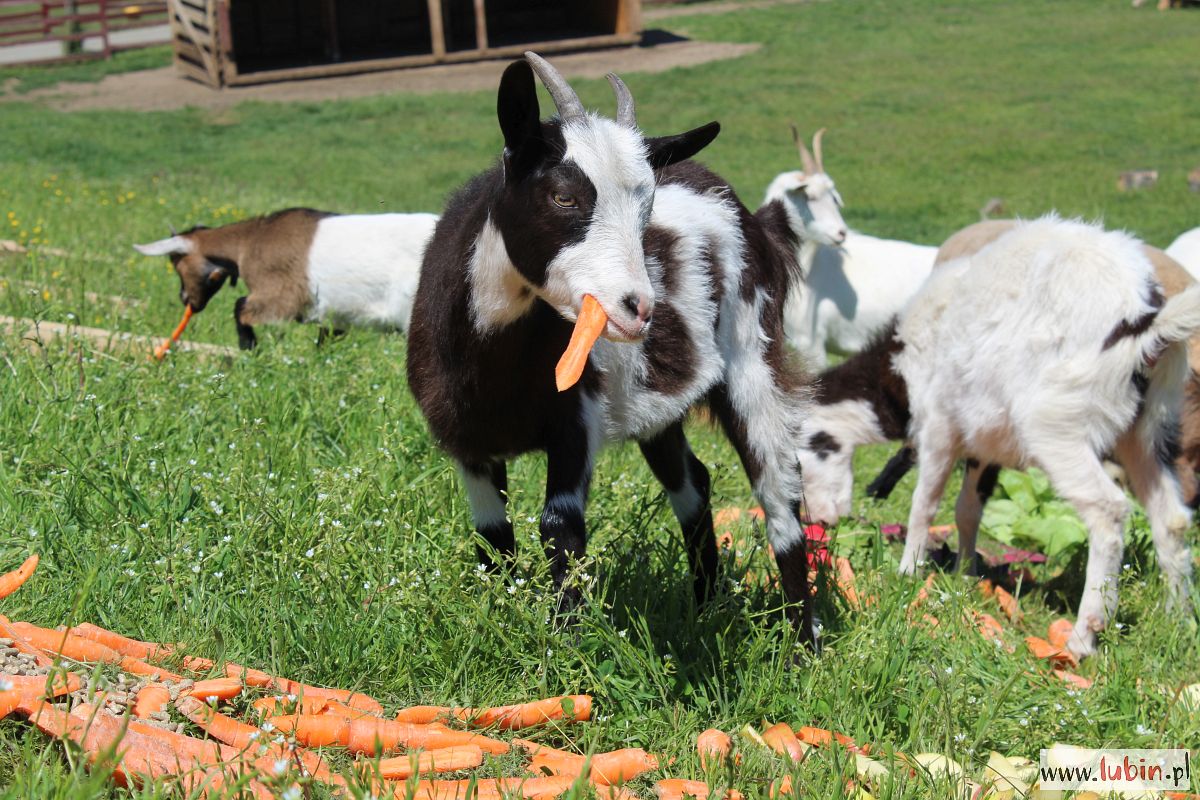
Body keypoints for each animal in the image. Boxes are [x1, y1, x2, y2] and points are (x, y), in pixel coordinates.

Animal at [135, 208, 441, 347]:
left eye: (177, 264)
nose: (186, 299)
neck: (250, 241)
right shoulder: (334, 315)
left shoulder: (281, 296)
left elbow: (241, 308)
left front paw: (249, 346)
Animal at [408, 53, 820, 642]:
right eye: (563, 195)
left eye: (648, 208)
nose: (639, 308)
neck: (496, 368)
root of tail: (754, 216)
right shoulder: (468, 443)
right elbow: (493, 536)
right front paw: (504, 623)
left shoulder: (575, 420)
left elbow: (560, 527)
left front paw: (566, 648)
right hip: (658, 406)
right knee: (692, 480)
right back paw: (706, 606)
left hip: (753, 355)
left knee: (779, 490)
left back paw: (801, 645)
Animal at [796, 217, 1200, 657]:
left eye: (806, 452)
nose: (819, 521)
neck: (901, 365)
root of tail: (1144, 316)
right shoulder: (982, 444)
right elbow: (967, 510)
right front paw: (965, 574)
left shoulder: (939, 427)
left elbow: (925, 504)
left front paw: (908, 570)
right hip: (1149, 427)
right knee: (1172, 518)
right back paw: (1178, 619)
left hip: (1058, 422)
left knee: (1108, 510)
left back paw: (1083, 636)